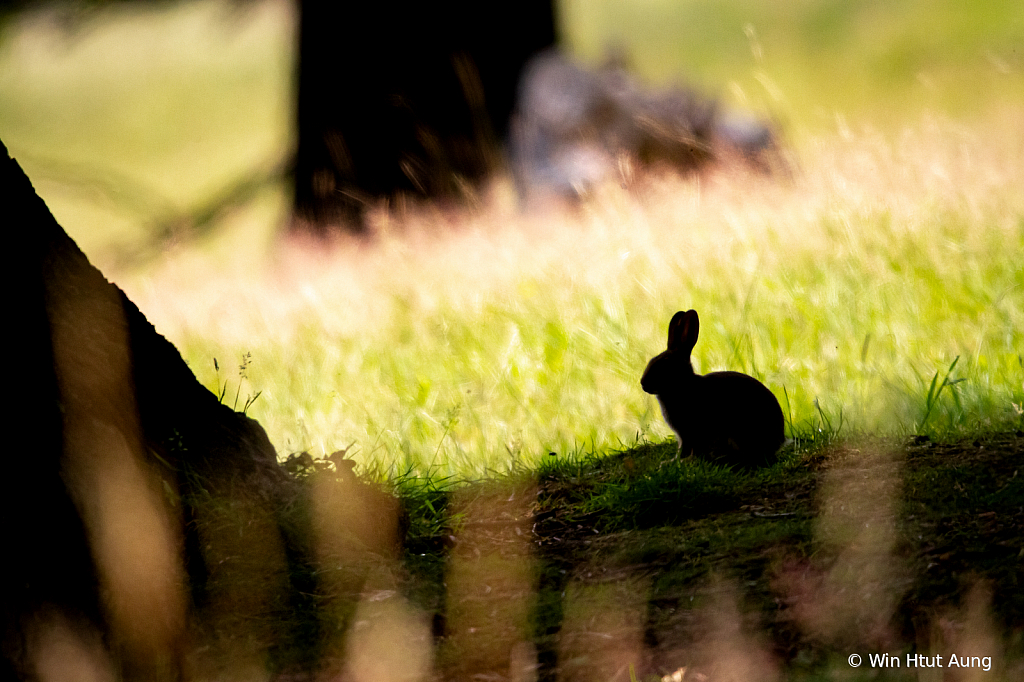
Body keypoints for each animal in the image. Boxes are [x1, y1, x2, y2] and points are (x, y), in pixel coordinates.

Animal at [638, 309, 782, 464]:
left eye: (664, 366)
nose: (643, 383)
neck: (682, 385)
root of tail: (777, 443)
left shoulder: (692, 431)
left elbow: (688, 449)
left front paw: (680, 462)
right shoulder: (684, 435)